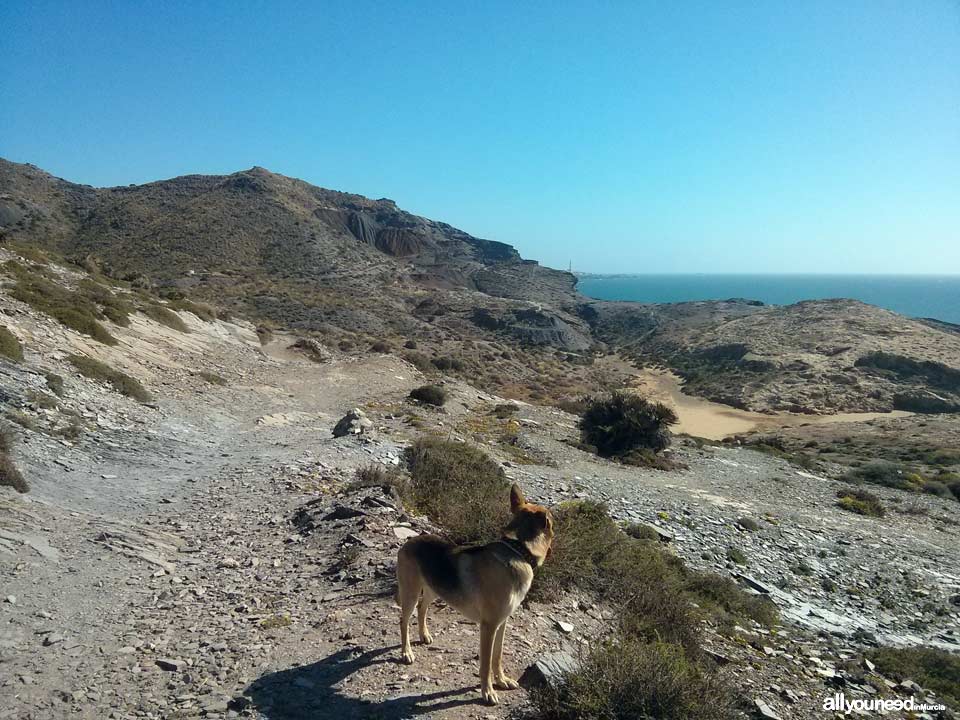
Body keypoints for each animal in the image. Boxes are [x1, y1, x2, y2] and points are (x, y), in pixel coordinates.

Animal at [394, 484, 552, 704]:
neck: (518, 550)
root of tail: (409, 542)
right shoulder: (489, 627)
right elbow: (486, 664)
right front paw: (488, 692)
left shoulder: (502, 623)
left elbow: (497, 656)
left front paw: (502, 680)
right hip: (411, 592)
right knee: (404, 620)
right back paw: (406, 652)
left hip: (434, 589)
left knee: (422, 608)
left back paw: (424, 635)